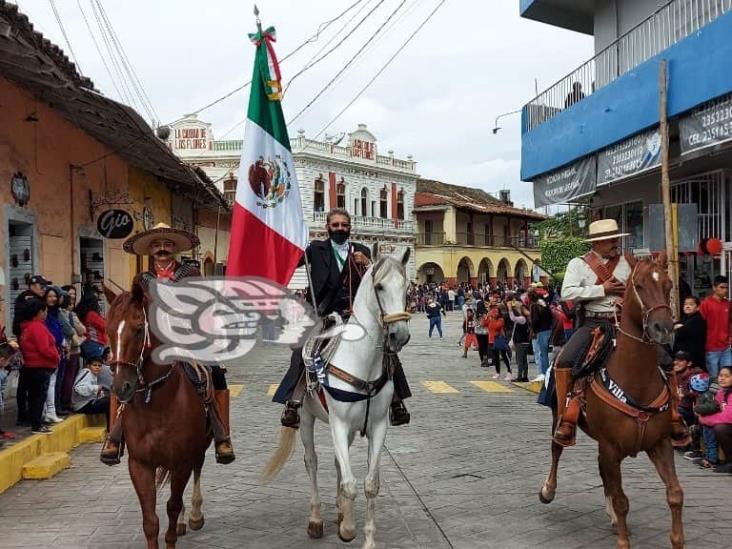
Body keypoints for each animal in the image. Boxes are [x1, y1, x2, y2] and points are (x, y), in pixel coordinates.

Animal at [105, 282, 212, 548]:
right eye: (108, 329)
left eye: (138, 329)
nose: (121, 387)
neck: (156, 402)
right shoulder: (140, 464)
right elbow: (150, 520)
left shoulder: (182, 460)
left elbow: (172, 506)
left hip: (200, 447)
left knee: (197, 469)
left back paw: (194, 515)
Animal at [262, 248, 412, 548]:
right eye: (380, 287)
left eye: (406, 287)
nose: (399, 335)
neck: (363, 363)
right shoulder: (339, 424)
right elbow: (350, 484)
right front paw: (348, 530)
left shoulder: (378, 426)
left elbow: (369, 484)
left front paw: (365, 536)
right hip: (307, 418)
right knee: (312, 461)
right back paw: (316, 520)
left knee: (336, 464)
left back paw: (340, 510)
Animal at [540, 254, 684, 548]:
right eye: (638, 286)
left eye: (668, 284)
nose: (663, 329)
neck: (636, 380)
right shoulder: (611, 447)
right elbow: (621, 501)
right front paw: (623, 539)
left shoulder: (660, 443)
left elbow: (675, 493)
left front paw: (677, 539)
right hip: (559, 413)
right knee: (556, 448)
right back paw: (548, 489)